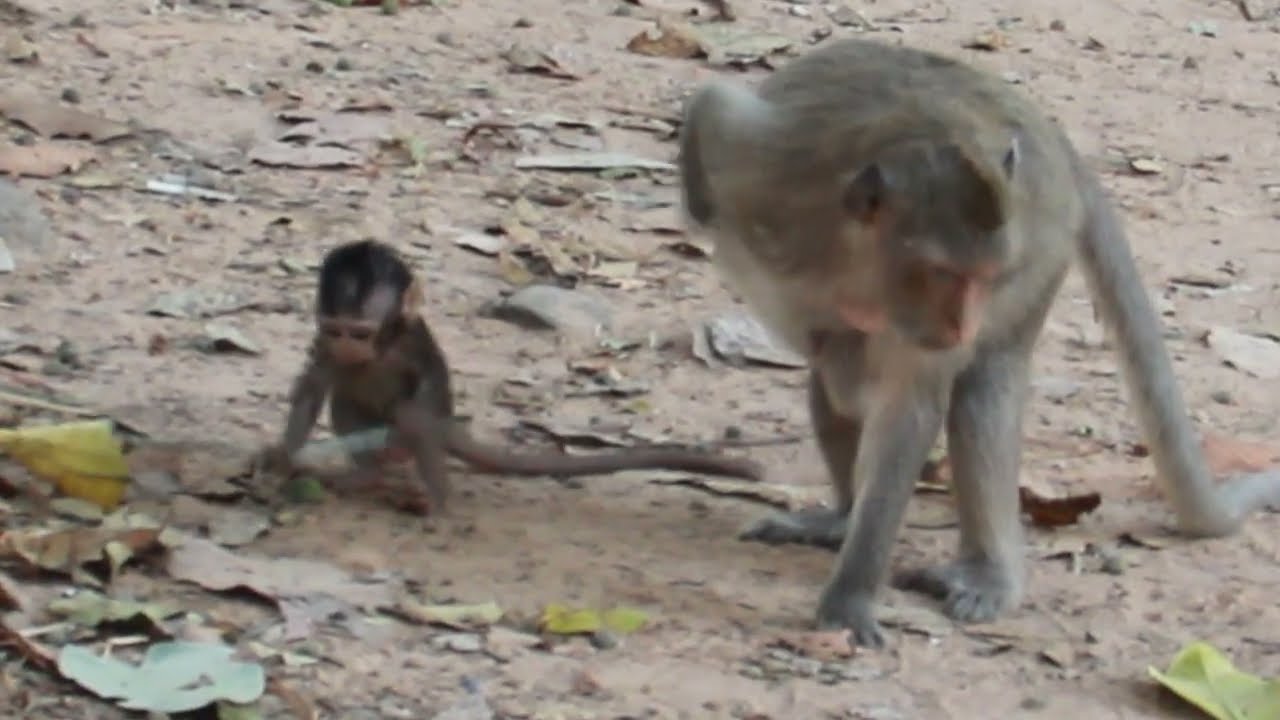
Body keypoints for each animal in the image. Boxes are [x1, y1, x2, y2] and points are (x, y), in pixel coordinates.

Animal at [259, 239, 766, 514]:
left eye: (361, 332)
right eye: (335, 329)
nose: (348, 347)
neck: (382, 346)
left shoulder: (411, 344)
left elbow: (423, 402)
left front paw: (437, 499)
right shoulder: (325, 345)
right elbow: (312, 388)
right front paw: (283, 456)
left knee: (411, 420)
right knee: (347, 397)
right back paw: (367, 474)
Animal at [677, 37, 1280, 648]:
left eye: (988, 277)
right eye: (943, 273)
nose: (961, 326)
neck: (847, 261)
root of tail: (1055, 138)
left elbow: (910, 411)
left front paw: (851, 597)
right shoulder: (764, 171)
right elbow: (714, 108)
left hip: (1045, 248)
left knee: (976, 389)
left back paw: (988, 571)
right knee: (836, 376)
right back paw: (841, 515)